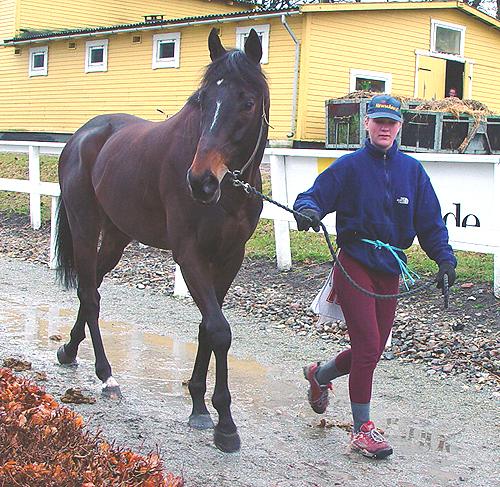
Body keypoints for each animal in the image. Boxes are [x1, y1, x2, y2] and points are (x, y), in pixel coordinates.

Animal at [54, 28, 269, 453]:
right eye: (204, 100)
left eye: (248, 102)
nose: (200, 181)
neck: (229, 192)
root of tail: (81, 135)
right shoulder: (189, 255)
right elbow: (219, 330)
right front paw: (225, 424)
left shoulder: (229, 258)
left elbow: (208, 327)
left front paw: (200, 405)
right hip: (85, 226)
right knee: (89, 294)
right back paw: (106, 375)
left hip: (116, 237)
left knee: (92, 288)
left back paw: (70, 349)